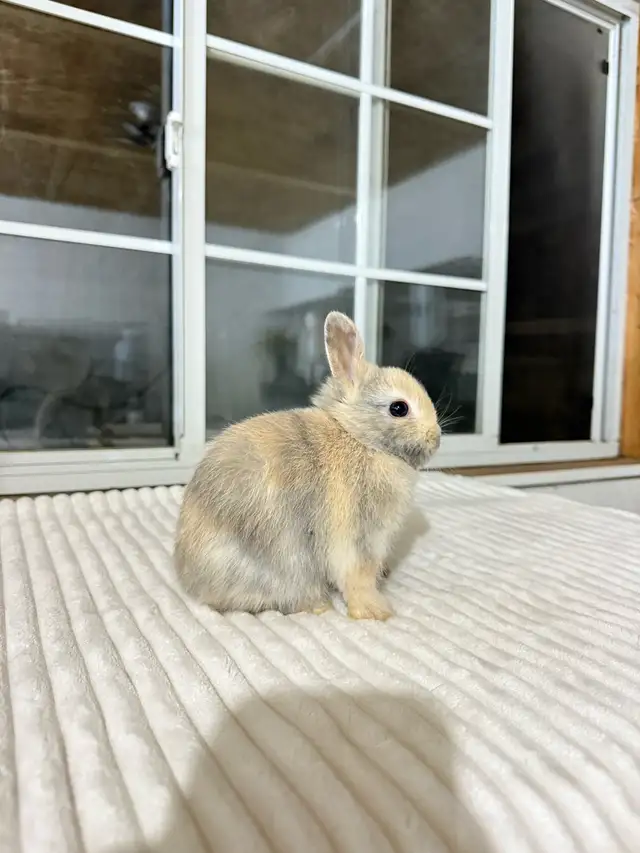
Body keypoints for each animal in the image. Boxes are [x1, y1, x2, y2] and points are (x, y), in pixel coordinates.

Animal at [174, 311, 441, 620]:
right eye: (399, 408)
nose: (436, 438)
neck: (360, 439)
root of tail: (191, 579)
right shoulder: (360, 537)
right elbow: (358, 576)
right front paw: (376, 611)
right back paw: (319, 606)